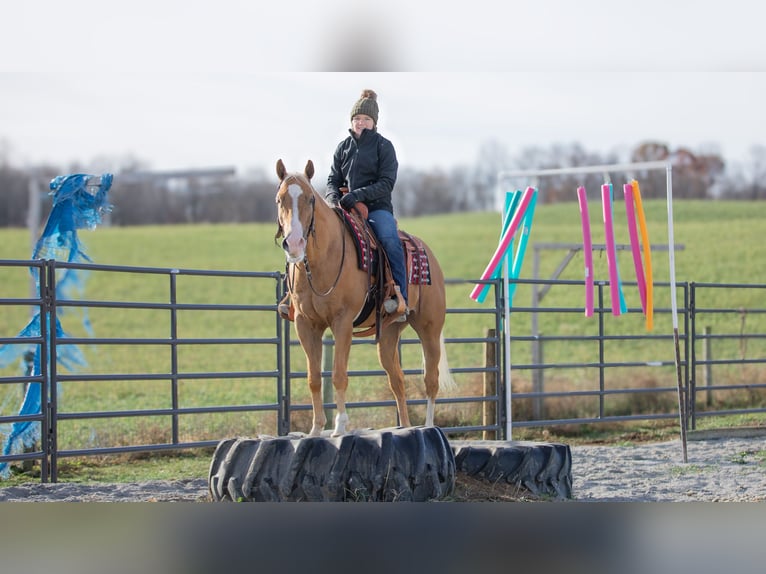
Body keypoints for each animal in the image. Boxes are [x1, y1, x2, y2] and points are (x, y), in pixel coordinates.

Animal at [276, 160, 456, 438]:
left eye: (310, 199)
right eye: (279, 199)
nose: (294, 243)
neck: (324, 259)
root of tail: (427, 253)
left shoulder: (342, 322)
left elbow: (338, 374)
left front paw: (340, 426)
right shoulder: (306, 324)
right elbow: (314, 378)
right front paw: (316, 430)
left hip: (429, 328)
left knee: (431, 380)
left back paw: (427, 427)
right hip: (390, 333)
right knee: (397, 380)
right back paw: (405, 427)